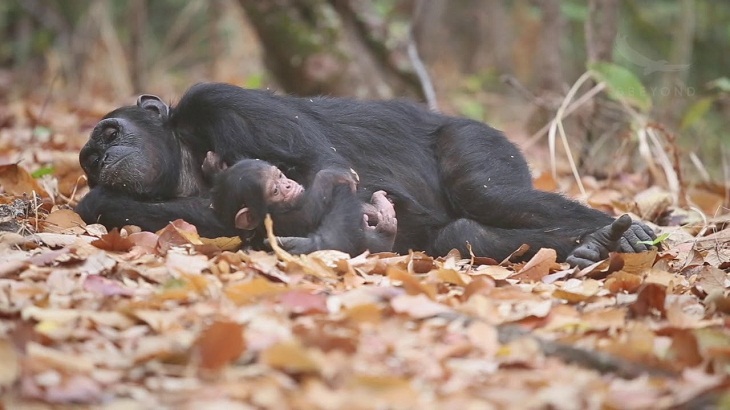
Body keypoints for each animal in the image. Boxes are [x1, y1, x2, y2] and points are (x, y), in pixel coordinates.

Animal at [202, 152, 396, 255]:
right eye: (275, 191)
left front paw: (213, 165)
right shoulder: (280, 219)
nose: (288, 185)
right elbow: (308, 213)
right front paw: (332, 175)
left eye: (280, 175)